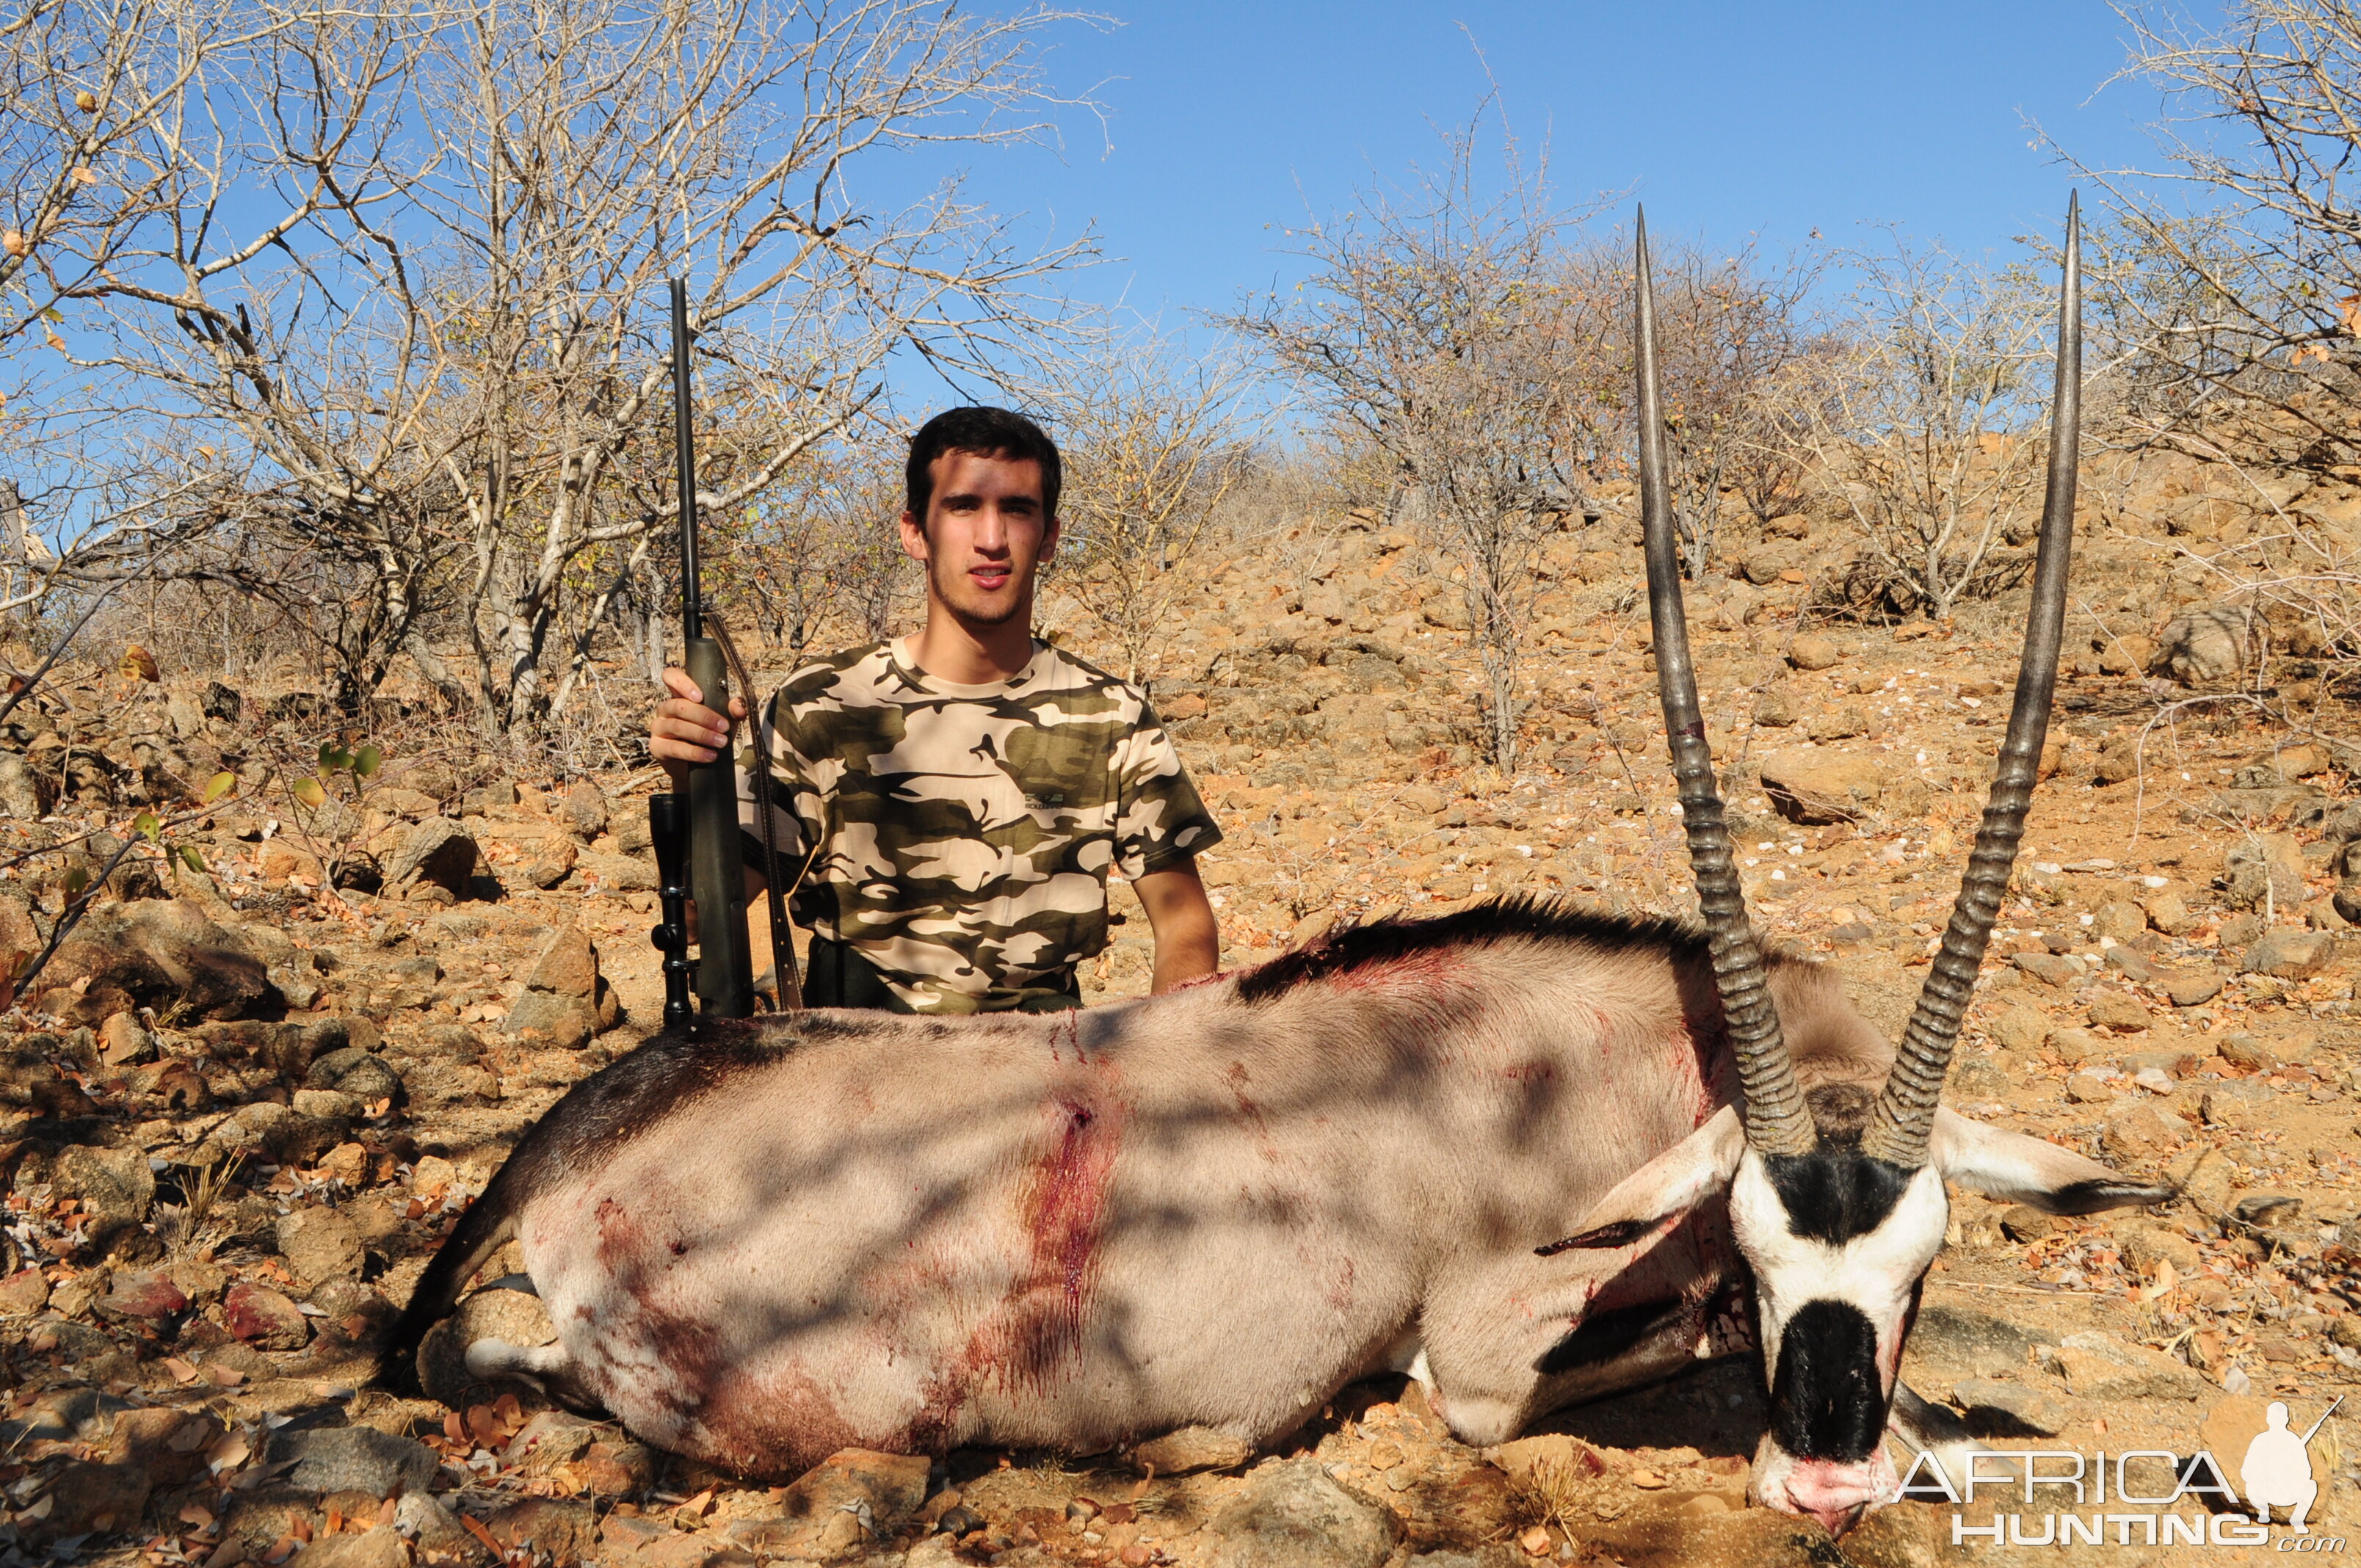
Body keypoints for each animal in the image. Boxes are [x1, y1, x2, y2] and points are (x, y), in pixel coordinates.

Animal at [382, 196, 2162, 1530]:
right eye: (1755, 1237)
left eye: (1928, 1255)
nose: (1818, 1481)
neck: (1613, 1055)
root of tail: (587, 1130)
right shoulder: (1487, 1341)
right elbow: (1532, 1372)